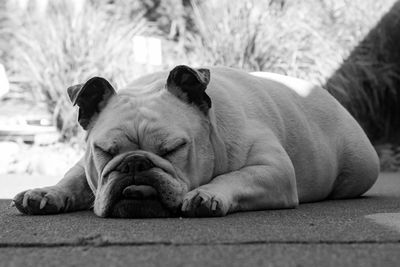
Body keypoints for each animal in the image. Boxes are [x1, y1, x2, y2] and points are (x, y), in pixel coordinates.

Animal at [10, 66, 378, 219]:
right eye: (105, 152)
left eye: (173, 149)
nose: (134, 163)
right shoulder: (87, 165)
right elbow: (74, 179)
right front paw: (46, 193)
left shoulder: (273, 170)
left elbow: (235, 176)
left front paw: (206, 194)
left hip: (361, 168)